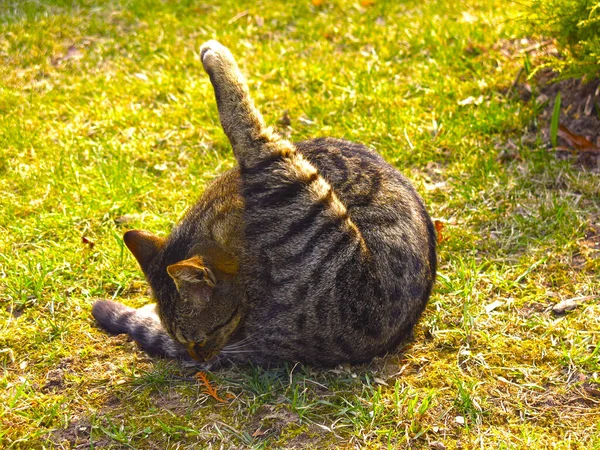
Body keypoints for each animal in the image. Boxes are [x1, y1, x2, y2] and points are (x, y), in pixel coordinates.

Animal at [95, 40, 440, 368]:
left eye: (201, 338)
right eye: (189, 340)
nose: (199, 359)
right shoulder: (277, 165)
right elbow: (242, 119)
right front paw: (216, 56)